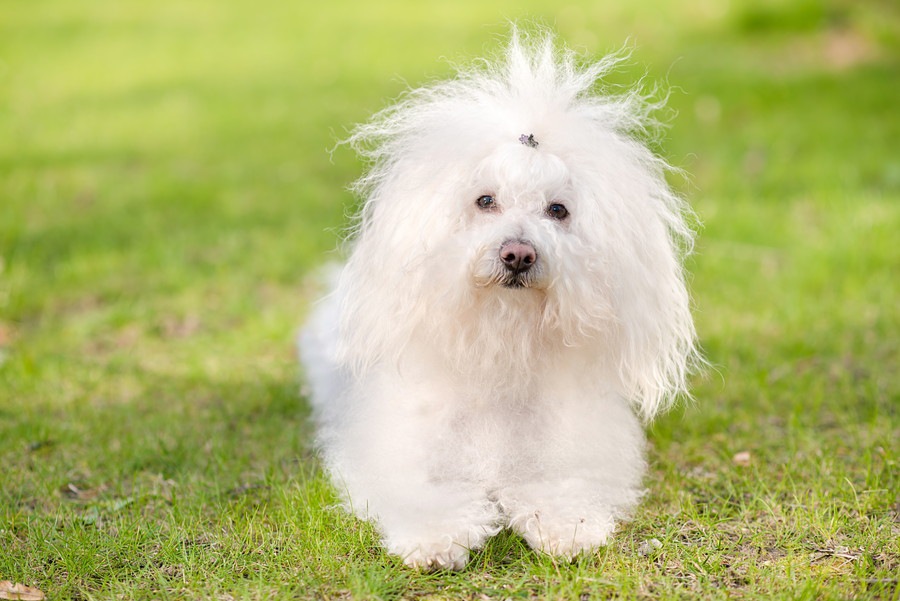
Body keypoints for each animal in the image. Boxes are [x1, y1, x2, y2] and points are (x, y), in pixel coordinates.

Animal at [298, 28, 700, 568]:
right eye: (485, 200)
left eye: (558, 210)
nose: (518, 255)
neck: (501, 348)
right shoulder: (403, 457)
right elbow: (426, 495)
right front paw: (437, 538)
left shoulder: (574, 451)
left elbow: (561, 487)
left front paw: (567, 526)